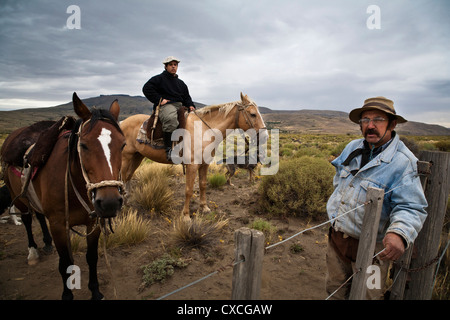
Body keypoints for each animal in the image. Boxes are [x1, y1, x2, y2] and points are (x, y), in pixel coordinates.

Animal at [1, 93, 125, 300]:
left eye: (123, 145)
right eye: (83, 145)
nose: (109, 203)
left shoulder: (93, 223)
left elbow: (92, 257)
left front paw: (96, 291)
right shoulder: (58, 225)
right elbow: (65, 262)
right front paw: (67, 295)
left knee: (39, 215)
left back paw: (47, 243)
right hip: (18, 197)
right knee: (27, 219)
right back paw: (33, 252)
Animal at [119, 93, 268, 220]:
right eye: (253, 114)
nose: (265, 136)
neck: (204, 131)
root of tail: (122, 122)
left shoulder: (204, 164)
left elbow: (202, 185)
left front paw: (204, 208)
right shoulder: (192, 165)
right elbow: (189, 190)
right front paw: (186, 216)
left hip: (137, 156)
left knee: (129, 177)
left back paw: (127, 201)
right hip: (126, 157)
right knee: (123, 177)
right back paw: (123, 203)